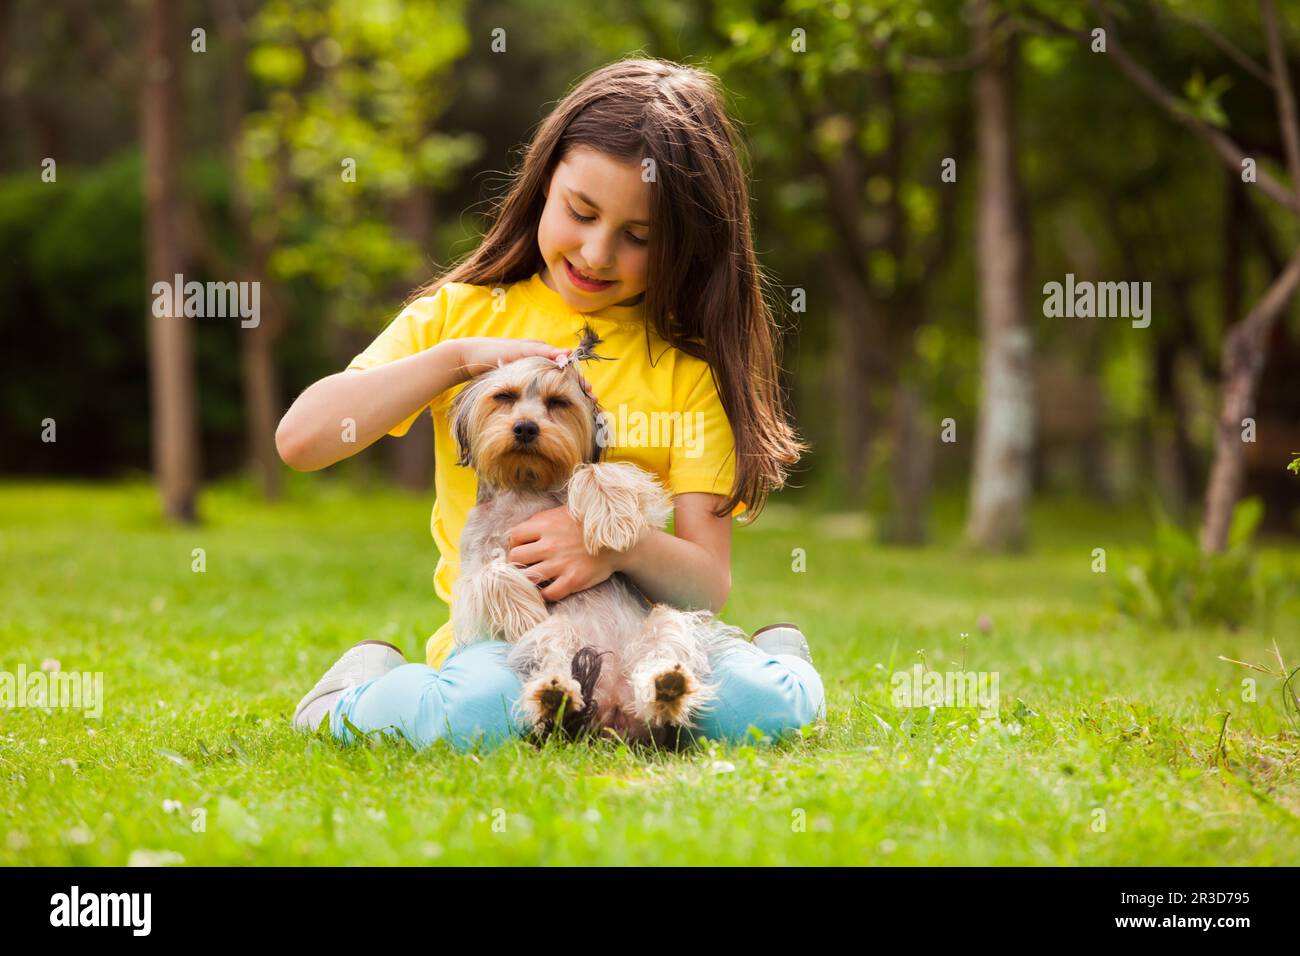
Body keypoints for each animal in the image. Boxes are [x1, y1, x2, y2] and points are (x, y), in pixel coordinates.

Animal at [452, 329, 748, 749]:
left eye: (557, 403)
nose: (525, 427)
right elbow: (490, 574)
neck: (526, 486)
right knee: (553, 657)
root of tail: (612, 711)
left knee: (661, 658)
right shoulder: (472, 565)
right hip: (556, 636)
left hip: (668, 620)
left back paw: (667, 687)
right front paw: (525, 608)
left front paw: (613, 521)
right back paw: (553, 695)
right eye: (505, 397)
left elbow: (594, 472)